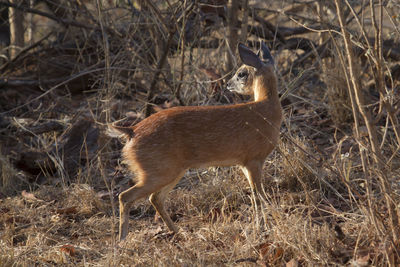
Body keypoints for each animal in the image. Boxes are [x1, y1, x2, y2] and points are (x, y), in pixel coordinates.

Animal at [111, 41, 282, 241]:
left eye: (241, 73)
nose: (228, 85)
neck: (266, 111)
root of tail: (131, 132)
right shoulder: (254, 159)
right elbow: (259, 195)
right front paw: (264, 227)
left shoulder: (245, 163)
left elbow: (255, 195)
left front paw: (261, 227)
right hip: (159, 170)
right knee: (125, 196)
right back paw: (122, 240)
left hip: (171, 170)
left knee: (155, 198)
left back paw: (179, 232)